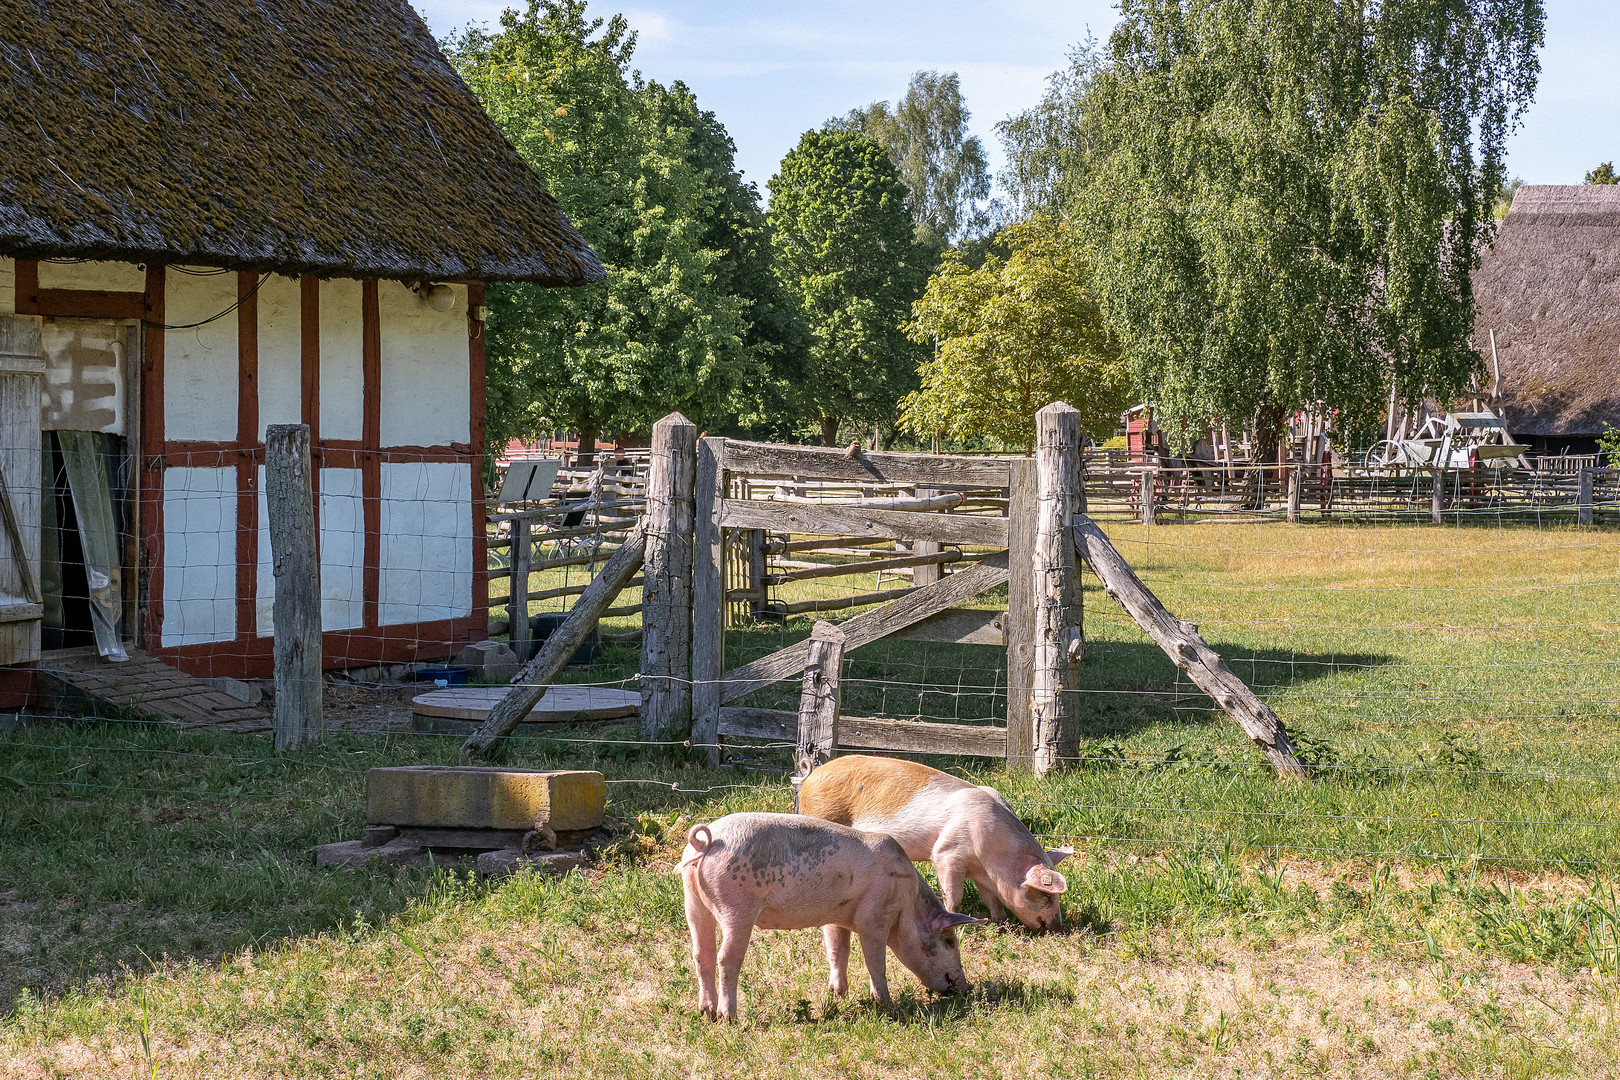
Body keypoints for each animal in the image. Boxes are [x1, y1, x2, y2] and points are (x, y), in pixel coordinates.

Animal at [677, 809, 978, 1023]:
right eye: (950, 942)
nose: (968, 988)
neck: (907, 903)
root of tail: (706, 843)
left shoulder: (836, 917)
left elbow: (837, 951)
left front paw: (837, 997)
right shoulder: (876, 916)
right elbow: (875, 963)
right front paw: (887, 1005)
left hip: (692, 901)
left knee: (701, 954)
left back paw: (706, 1012)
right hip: (737, 906)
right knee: (726, 958)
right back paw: (729, 1018)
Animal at [800, 757, 1075, 932]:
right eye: (1045, 895)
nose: (1058, 928)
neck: (992, 856)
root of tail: (810, 775)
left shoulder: (981, 872)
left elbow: (991, 897)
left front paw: (999, 923)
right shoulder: (947, 853)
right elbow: (953, 894)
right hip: (822, 815)